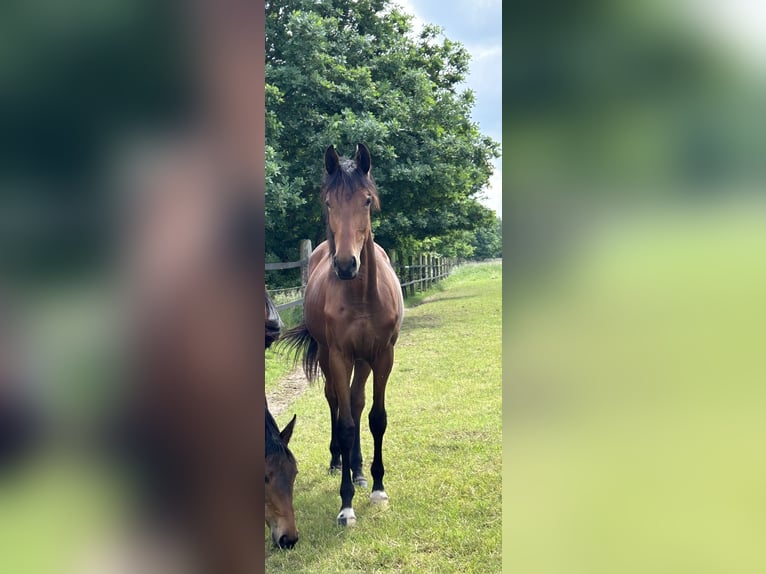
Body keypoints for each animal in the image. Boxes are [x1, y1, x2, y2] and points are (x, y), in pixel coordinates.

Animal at [284, 145, 404, 532]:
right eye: (329, 202)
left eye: (366, 200)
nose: (346, 265)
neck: (362, 296)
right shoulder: (338, 356)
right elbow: (347, 424)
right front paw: (346, 504)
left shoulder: (382, 356)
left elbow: (376, 417)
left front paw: (377, 487)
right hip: (329, 356)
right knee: (336, 402)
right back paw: (339, 461)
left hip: (363, 360)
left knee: (355, 400)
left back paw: (358, 469)